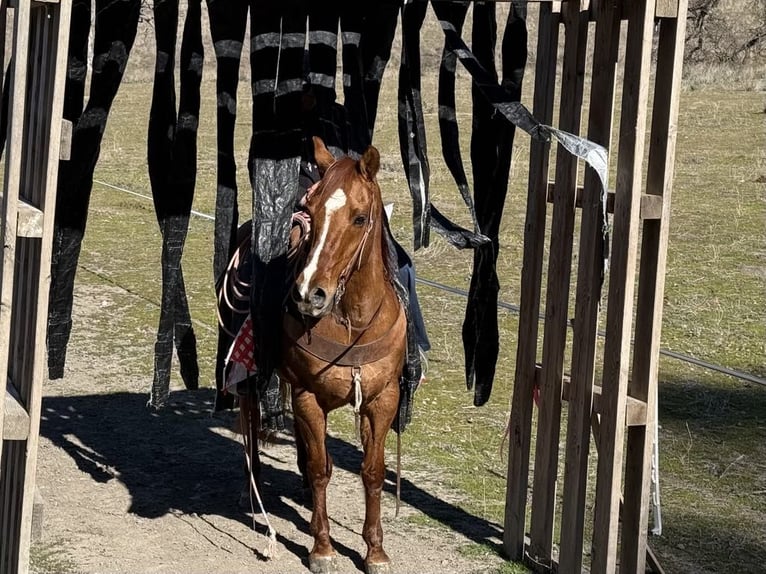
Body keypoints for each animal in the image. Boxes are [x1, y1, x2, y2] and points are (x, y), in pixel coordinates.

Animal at [280, 137, 404, 572]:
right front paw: (322, 548)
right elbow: (321, 470)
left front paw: (376, 551)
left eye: (359, 218)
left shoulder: (383, 399)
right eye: (311, 212)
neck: (353, 320)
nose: (308, 294)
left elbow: (373, 471)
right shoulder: (308, 397)